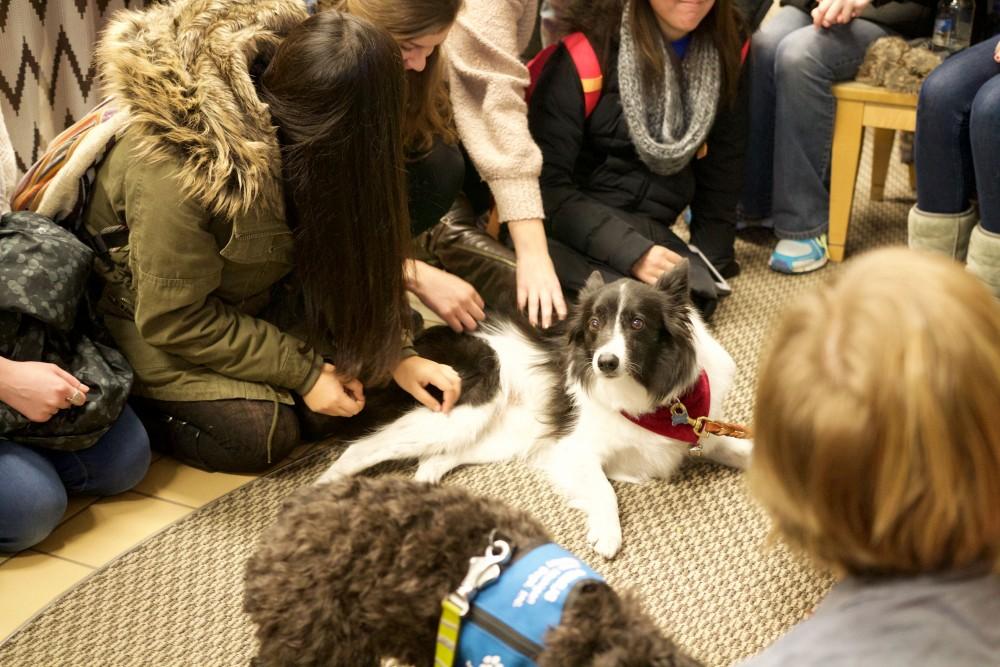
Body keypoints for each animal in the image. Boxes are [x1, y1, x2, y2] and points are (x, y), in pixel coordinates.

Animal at [318, 260, 752, 560]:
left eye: (637, 323)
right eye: (595, 323)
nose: (605, 363)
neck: (644, 394)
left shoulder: (704, 434)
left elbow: (743, 451)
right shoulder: (573, 448)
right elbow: (604, 489)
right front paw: (607, 533)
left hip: (500, 435)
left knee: (432, 462)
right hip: (461, 411)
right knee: (360, 449)